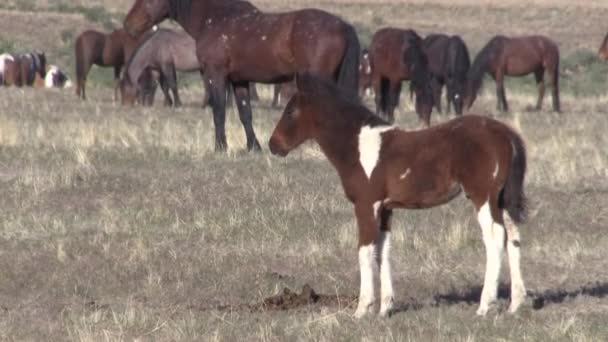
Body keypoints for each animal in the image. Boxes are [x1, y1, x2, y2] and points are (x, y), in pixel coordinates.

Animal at [124, 0, 360, 152]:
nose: (128, 25)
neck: (216, 19)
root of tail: (343, 26)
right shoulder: (239, 81)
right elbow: (245, 113)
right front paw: (253, 147)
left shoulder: (215, 75)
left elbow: (219, 111)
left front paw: (220, 147)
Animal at [270, 73, 528, 320]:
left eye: (291, 111)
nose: (273, 145)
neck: (359, 147)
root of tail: (505, 133)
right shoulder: (385, 209)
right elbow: (383, 252)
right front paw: (385, 309)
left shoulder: (366, 205)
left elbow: (364, 251)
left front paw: (362, 309)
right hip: (502, 200)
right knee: (513, 237)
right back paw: (515, 305)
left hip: (483, 198)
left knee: (495, 239)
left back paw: (485, 306)